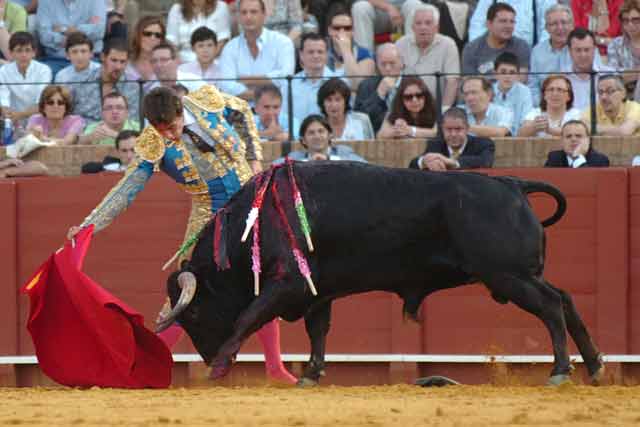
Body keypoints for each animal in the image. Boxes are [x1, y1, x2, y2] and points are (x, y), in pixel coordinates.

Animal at [156, 162, 604, 386]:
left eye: (193, 313)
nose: (206, 356)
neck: (259, 221)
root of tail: (512, 183)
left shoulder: (289, 285)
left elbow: (249, 316)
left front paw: (220, 366)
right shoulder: (318, 292)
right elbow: (318, 331)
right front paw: (311, 375)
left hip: (508, 275)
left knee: (551, 305)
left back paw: (560, 371)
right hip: (518, 275)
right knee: (566, 300)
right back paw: (595, 366)